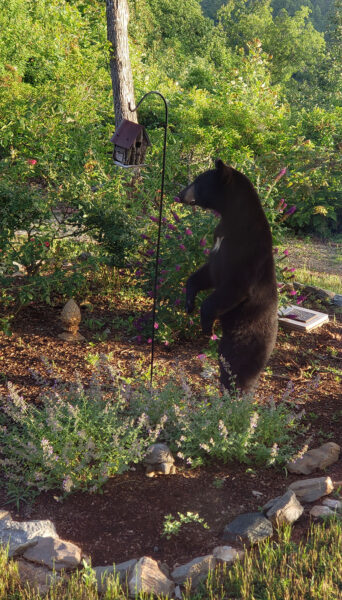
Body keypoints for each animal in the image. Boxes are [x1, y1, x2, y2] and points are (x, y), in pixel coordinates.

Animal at [178, 159, 280, 394]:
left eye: (198, 181)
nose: (179, 194)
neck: (233, 219)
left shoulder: (245, 255)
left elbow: (234, 287)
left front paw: (206, 325)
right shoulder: (217, 243)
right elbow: (206, 273)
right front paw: (189, 302)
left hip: (247, 340)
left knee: (238, 369)